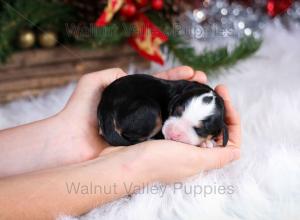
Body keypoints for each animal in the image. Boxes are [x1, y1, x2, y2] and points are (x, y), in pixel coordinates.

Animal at [97, 74, 229, 148]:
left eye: (199, 130)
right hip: (150, 110)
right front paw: (206, 143)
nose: (173, 133)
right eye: (176, 111)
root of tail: (106, 105)